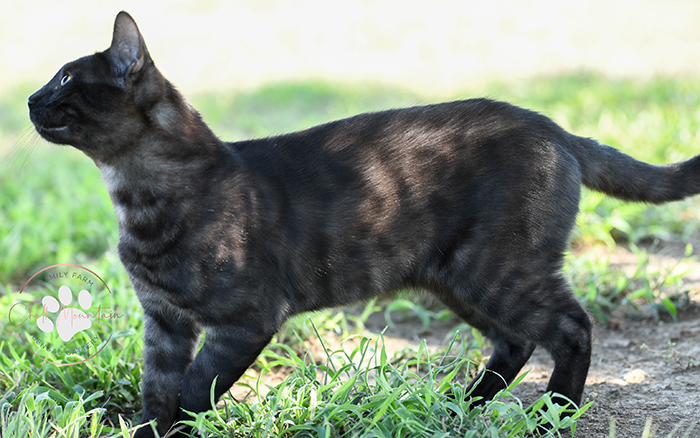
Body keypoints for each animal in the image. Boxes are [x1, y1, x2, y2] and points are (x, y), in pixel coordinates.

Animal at [28, 10, 700, 438]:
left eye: (65, 77)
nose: (30, 99)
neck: (136, 198)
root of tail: (555, 127)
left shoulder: (244, 320)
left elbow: (194, 391)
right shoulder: (164, 323)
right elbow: (157, 393)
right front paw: (150, 434)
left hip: (498, 268)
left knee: (571, 328)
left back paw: (551, 416)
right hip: (457, 278)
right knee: (515, 341)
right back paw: (457, 408)